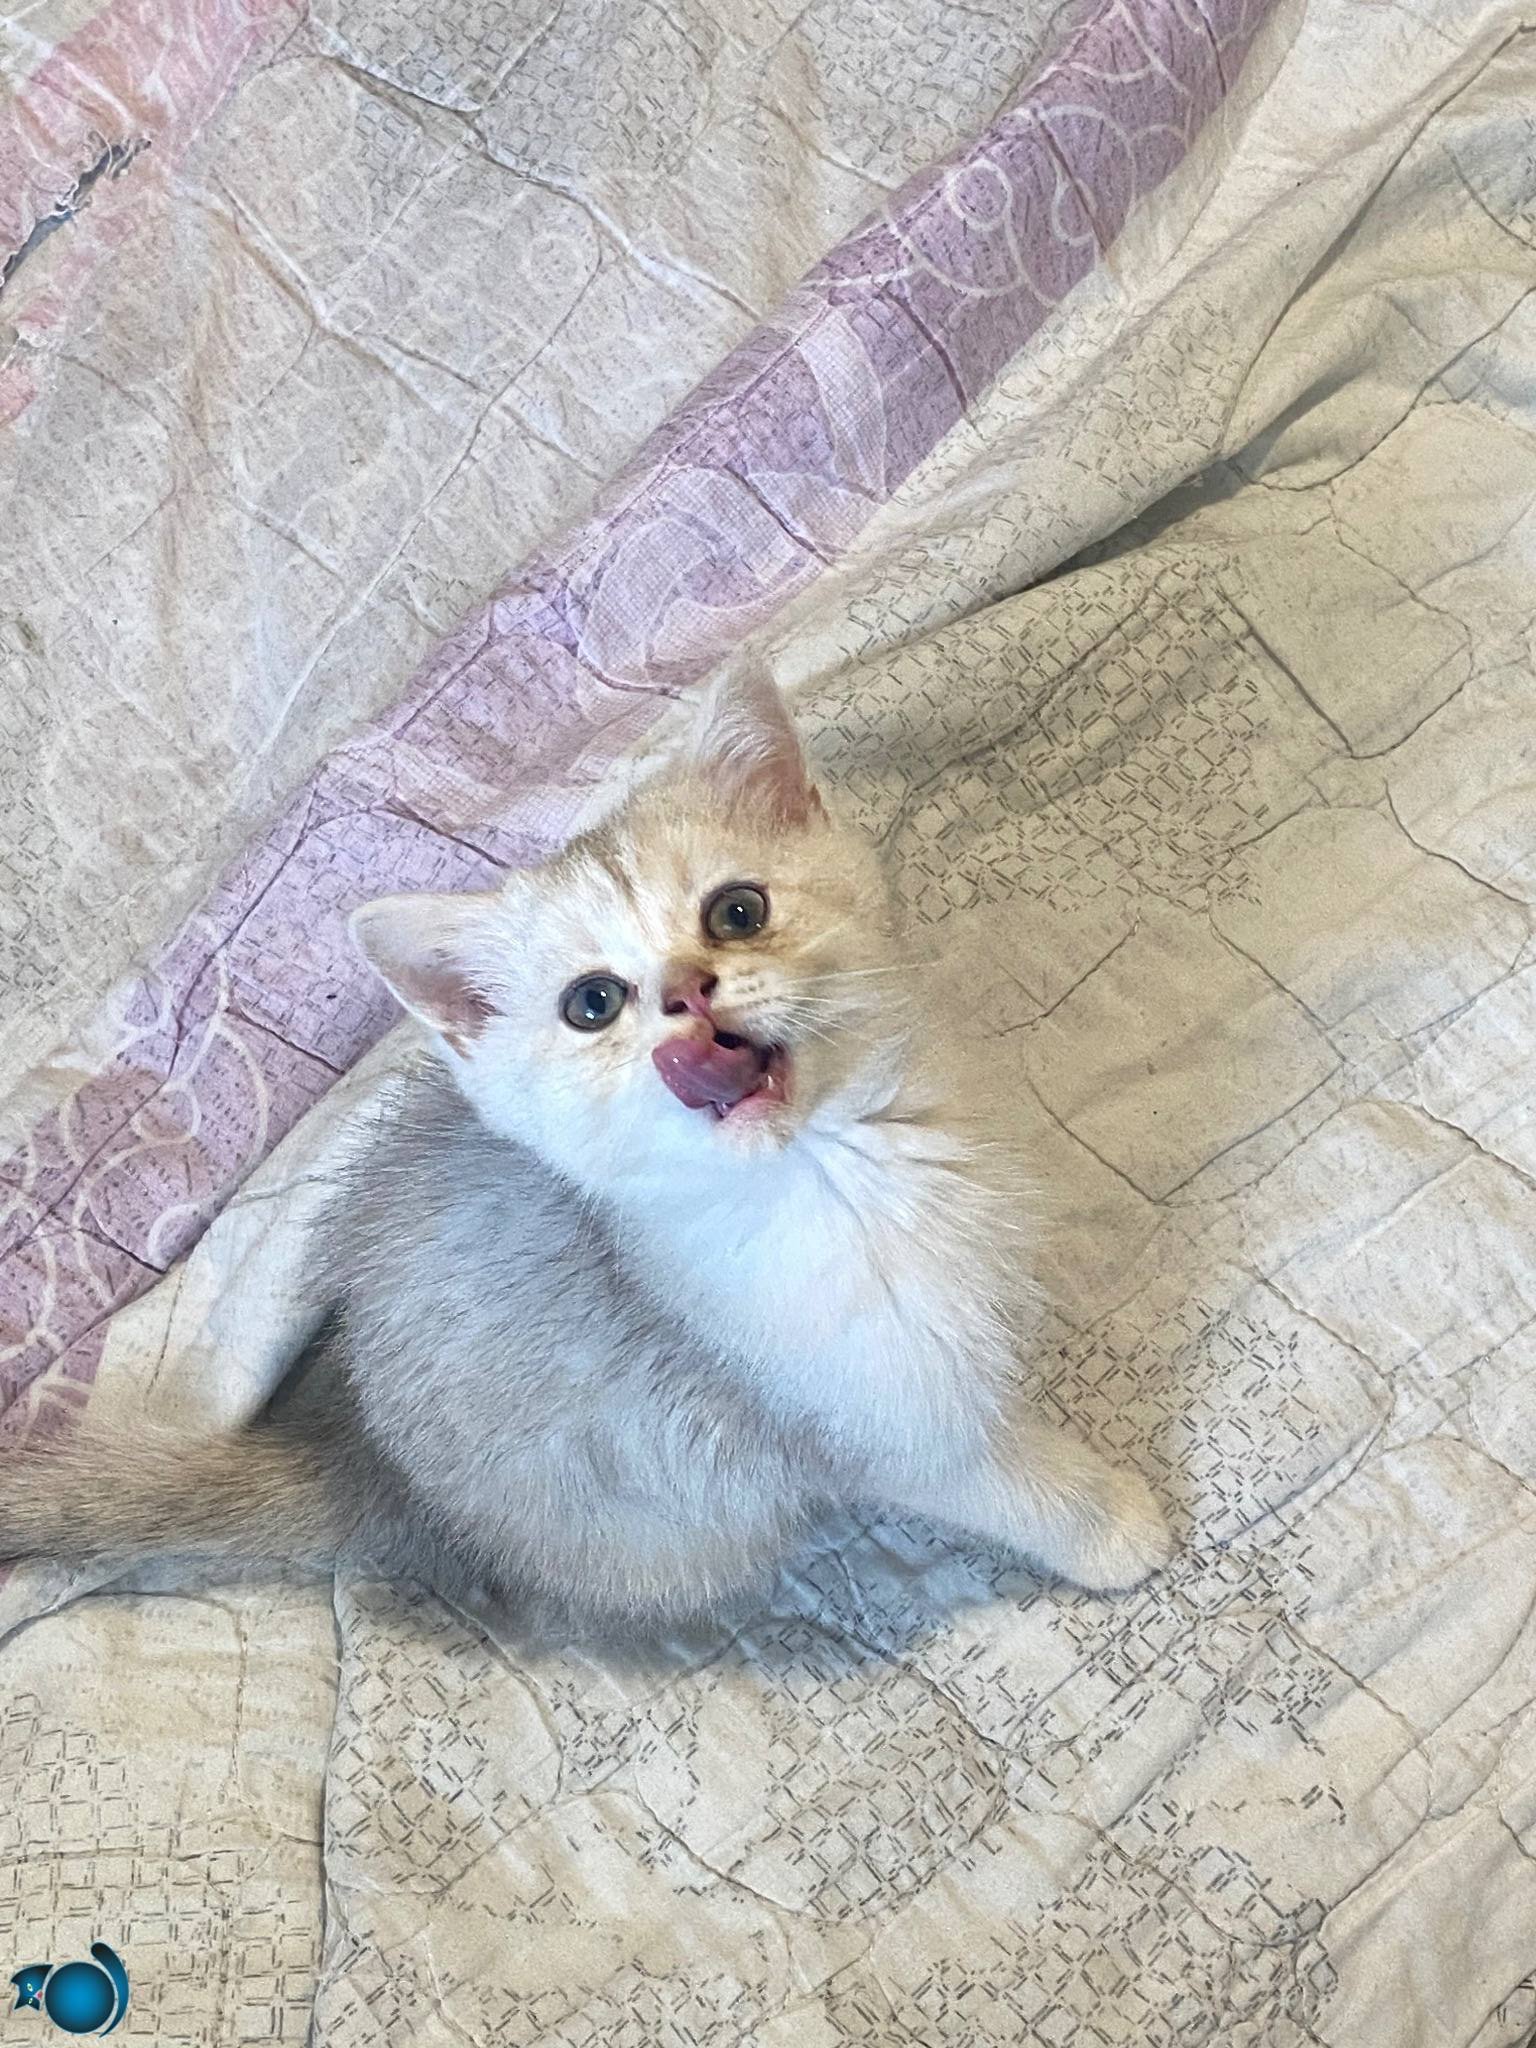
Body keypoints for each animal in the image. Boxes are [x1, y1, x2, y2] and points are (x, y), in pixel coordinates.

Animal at [0, 661, 1173, 1625]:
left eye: (737, 909)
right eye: (592, 1002)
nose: (685, 991)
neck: (840, 1168)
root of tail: (362, 1459)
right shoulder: (851, 1415)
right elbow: (1002, 1481)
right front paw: (1112, 1524)